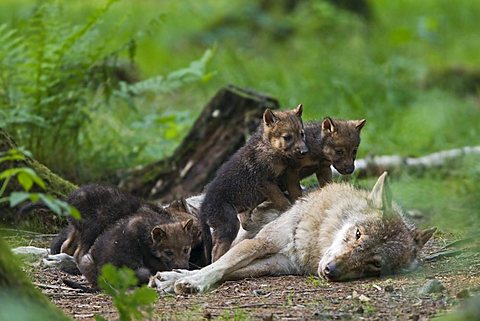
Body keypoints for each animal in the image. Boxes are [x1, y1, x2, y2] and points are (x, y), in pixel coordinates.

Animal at [149, 172, 436, 292]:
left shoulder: (277, 263)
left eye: (375, 264)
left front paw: (176, 279)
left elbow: (226, 270)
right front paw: (186, 281)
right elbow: (218, 265)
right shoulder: (262, 241)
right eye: (358, 234)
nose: (331, 271)